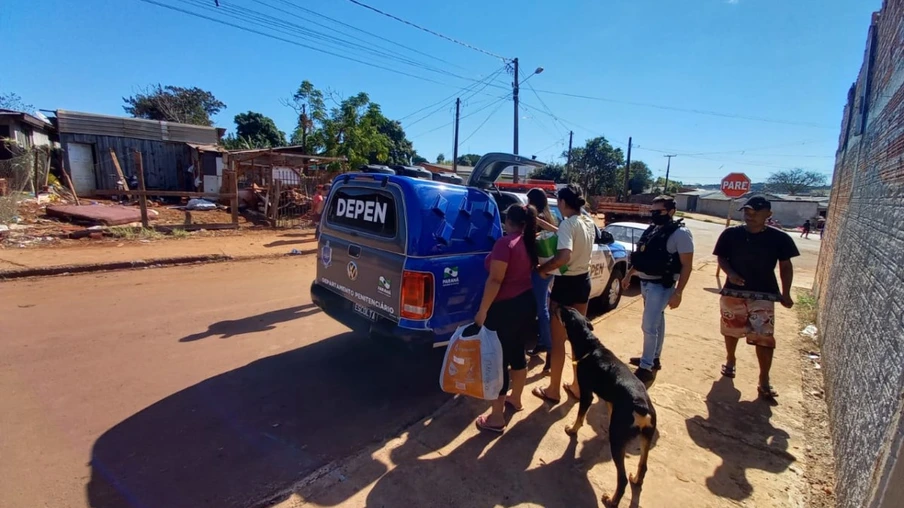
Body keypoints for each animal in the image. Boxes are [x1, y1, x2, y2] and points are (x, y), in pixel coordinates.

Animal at [556, 304, 656, 506]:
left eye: (565, 313)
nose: (558, 305)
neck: (590, 346)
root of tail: (642, 407)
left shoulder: (587, 393)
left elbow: (580, 415)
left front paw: (572, 429)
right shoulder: (610, 400)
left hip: (618, 439)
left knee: (622, 479)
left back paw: (611, 500)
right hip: (646, 436)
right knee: (643, 466)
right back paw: (636, 479)